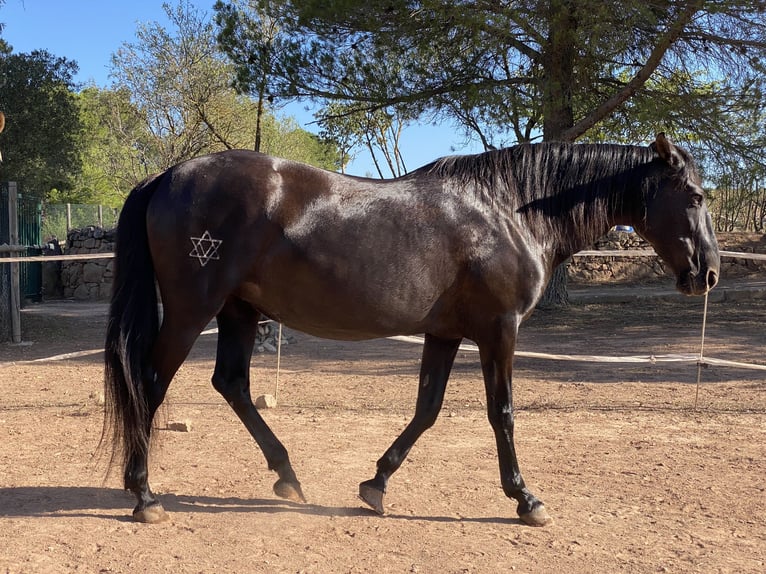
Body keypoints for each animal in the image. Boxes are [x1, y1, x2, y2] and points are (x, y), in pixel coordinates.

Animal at [102, 134, 720, 528]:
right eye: (694, 197)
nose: (708, 273)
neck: (510, 211)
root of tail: (167, 175)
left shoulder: (444, 334)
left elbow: (427, 409)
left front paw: (376, 484)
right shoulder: (499, 331)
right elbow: (502, 414)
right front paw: (525, 499)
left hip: (239, 311)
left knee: (231, 383)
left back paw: (287, 476)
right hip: (193, 310)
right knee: (149, 384)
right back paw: (144, 494)